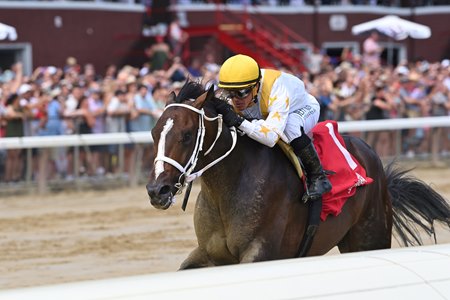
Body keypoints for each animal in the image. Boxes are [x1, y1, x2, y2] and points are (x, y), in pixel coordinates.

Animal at [146, 80, 450, 270]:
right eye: (153, 133)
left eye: (187, 135)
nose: (157, 190)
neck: (228, 188)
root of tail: (371, 156)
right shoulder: (208, 255)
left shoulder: (263, 253)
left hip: (369, 237)